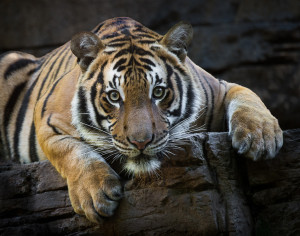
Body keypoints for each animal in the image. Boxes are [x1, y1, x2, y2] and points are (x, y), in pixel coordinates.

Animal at [0, 17, 282, 223]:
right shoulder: (47, 118)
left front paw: (261, 137)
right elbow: (72, 151)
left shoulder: (221, 88)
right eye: (114, 96)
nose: (140, 142)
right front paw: (95, 195)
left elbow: (248, 97)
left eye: (158, 92)